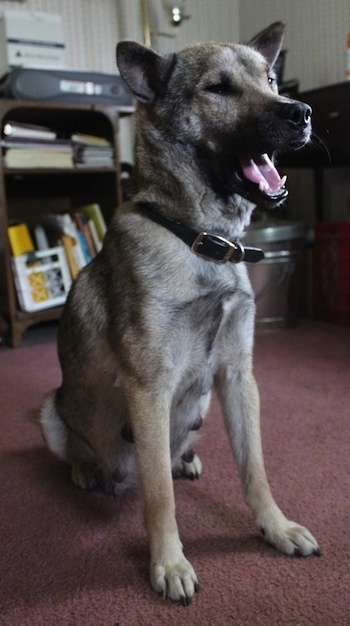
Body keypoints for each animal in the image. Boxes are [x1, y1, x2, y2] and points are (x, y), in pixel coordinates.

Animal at [40, 22, 320, 604]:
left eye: (270, 79)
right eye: (219, 88)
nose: (301, 112)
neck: (202, 240)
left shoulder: (237, 377)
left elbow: (255, 468)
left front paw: (276, 527)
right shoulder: (150, 390)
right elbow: (159, 497)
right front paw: (169, 564)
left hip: (203, 403)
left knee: (175, 457)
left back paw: (185, 458)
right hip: (50, 410)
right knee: (84, 453)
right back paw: (86, 471)